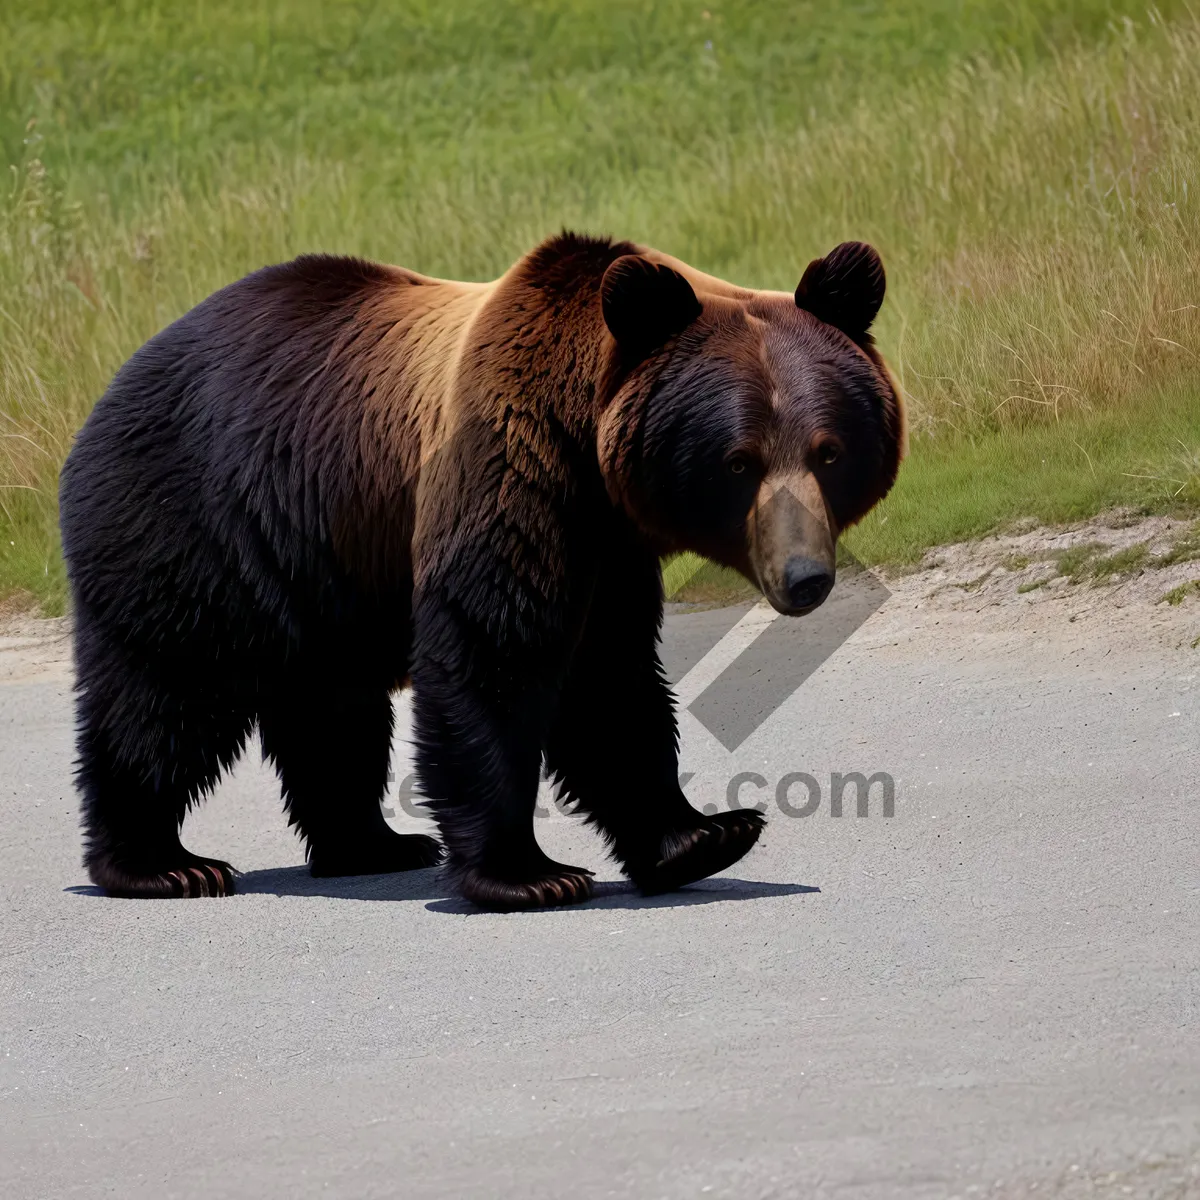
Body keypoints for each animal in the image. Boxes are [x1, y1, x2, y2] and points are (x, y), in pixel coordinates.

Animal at [54, 231, 902, 907]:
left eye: (828, 451)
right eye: (738, 460)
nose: (804, 576)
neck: (588, 455)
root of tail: (114, 383)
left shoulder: (608, 552)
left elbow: (611, 681)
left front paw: (707, 834)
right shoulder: (510, 477)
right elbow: (496, 654)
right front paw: (531, 875)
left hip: (322, 563)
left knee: (334, 709)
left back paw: (371, 844)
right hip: (193, 524)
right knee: (167, 687)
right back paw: (161, 864)